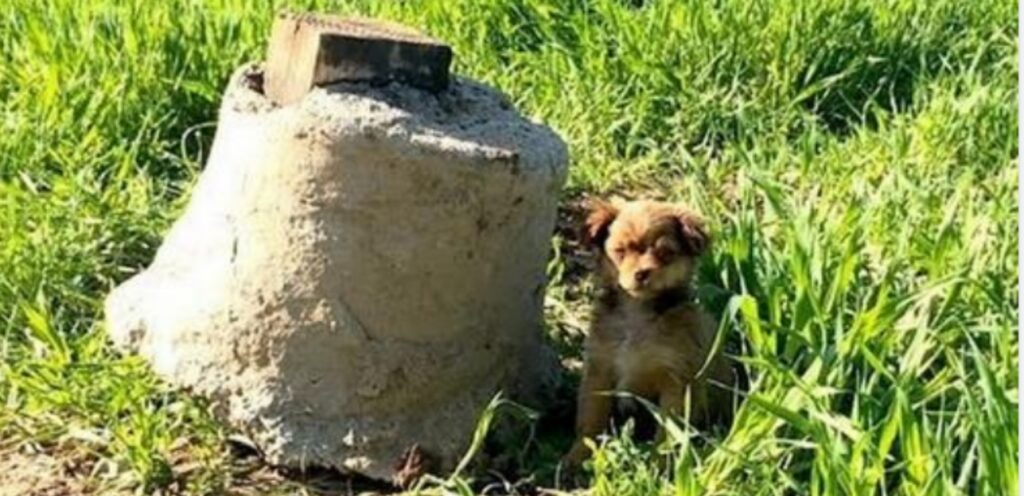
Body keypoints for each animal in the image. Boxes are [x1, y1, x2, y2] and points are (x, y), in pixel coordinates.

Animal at [561, 197, 737, 465]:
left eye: (665, 253)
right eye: (620, 252)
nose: (642, 273)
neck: (638, 312)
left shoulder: (676, 381)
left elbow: (668, 431)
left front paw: (660, 464)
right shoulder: (599, 370)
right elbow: (591, 419)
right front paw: (578, 455)